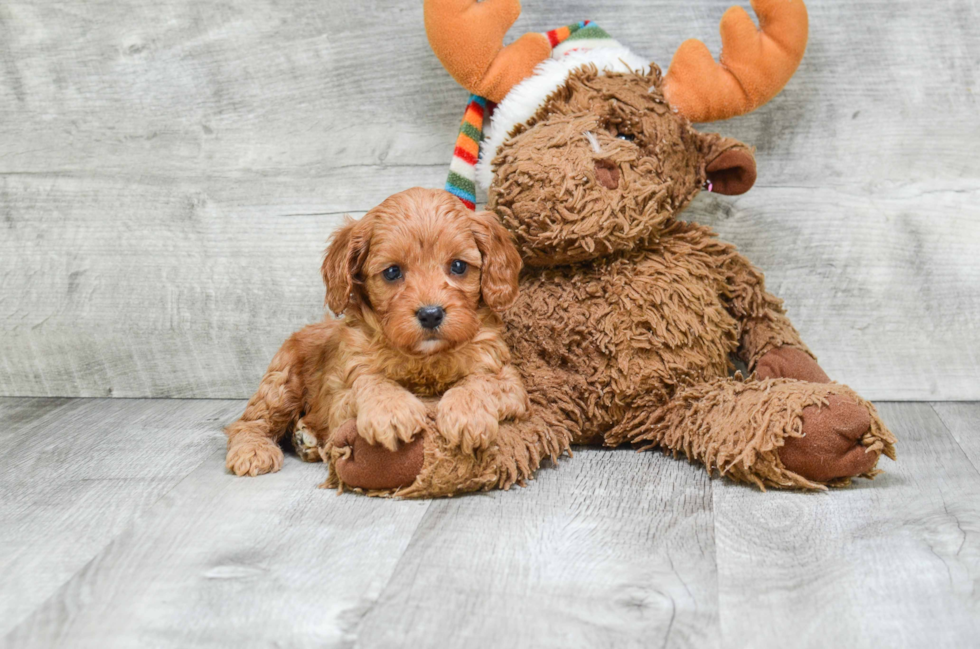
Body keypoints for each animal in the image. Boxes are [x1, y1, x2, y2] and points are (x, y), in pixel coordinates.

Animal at [224, 187, 528, 476]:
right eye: (392, 272)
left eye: (458, 266)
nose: (430, 314)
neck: (424, 359)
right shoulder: (341, 393)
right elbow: (371, 380)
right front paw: (392, 411)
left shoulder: (507, 378)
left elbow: (481, 380)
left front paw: (467, 413)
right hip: (281, 382)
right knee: (248, 422)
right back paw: (254, 450)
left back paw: (306, 440)